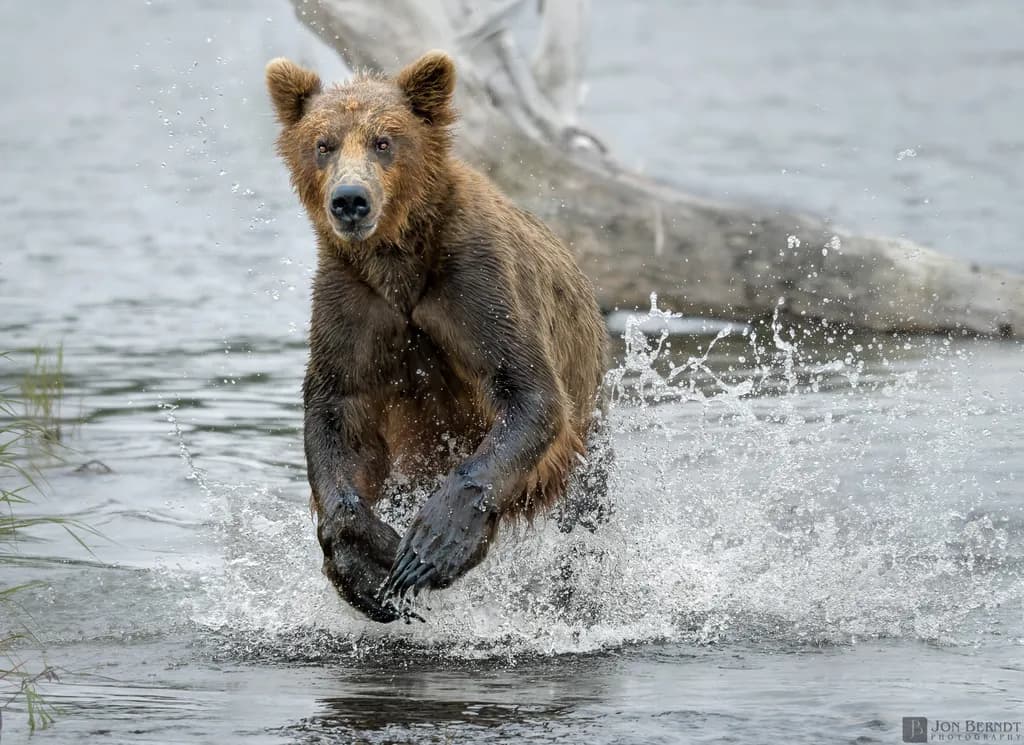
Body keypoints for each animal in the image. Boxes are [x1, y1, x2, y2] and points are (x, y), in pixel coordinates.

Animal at [266, 51, 609, 622]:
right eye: (324, 143)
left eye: (384, 141)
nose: (351, 200)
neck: (398, 259)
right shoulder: (353, 304)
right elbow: (336, 409)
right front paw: (369, 561)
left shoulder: (476, 284)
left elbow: (527, 392)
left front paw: (433, 545)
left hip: (587, 431)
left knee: (584, 522)